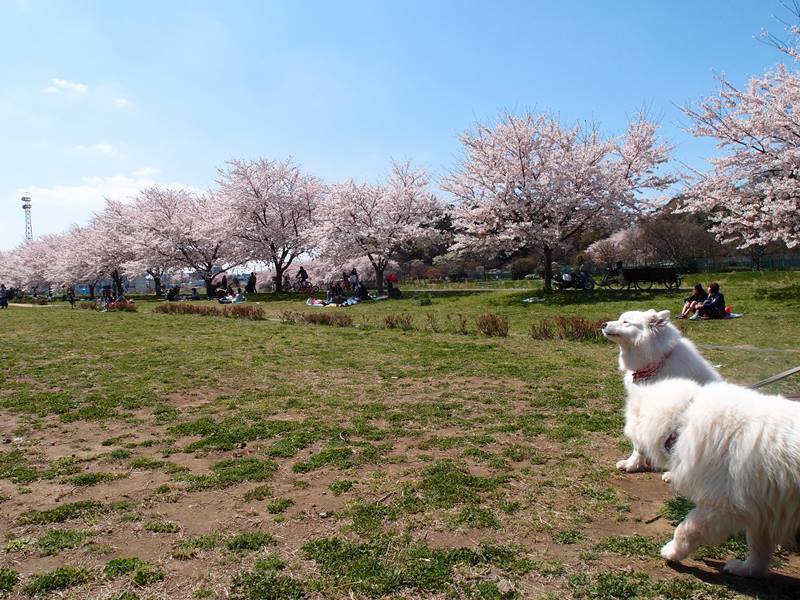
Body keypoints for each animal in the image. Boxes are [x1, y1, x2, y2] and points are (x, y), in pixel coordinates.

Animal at [604, 310, 720, 474]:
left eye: (626, 322)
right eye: (620, 319)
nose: (603, 324)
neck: (656, 363)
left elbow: (639, 444)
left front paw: (633, 464)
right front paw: (633, 463)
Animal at [624, 378, 800, 580]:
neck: (682, 420)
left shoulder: (721, 508)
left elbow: (685, 529)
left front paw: (672, 552)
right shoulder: (762, 512)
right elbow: (758, 549)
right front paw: (748, 570)